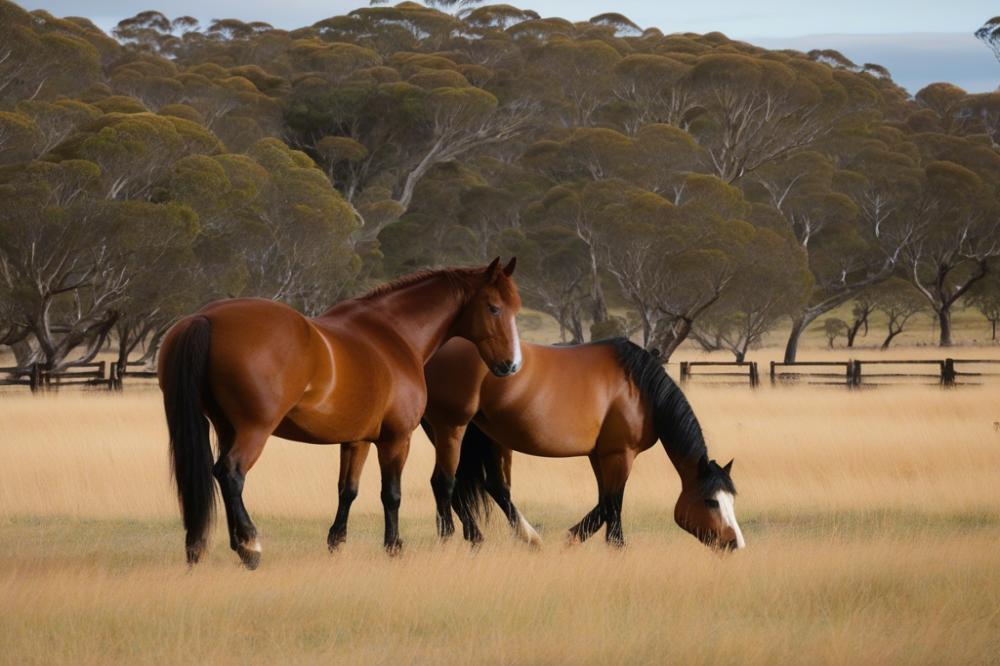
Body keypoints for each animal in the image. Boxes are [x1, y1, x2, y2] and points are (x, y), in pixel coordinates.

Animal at [157, 258, 522, 568]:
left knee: (218, 477)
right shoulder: (396, 439)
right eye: (494, 308)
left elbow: (348, 490)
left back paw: (204, 547)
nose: (510, 365)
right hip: (253, 430)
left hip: (223, 427)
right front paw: (394, 546)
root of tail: (205, 317)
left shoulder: (356, 440)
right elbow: (391, 494)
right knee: (231, 473)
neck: (393, 335)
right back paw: (250, 547)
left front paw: (336, 542)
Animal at [338, 336, 744, 551]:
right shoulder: (619, 454)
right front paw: (608, 545)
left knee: (492, 486)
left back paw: (517, 537)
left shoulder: (600, 454)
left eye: (731, 499)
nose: (734, 542)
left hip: (483, 436)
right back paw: (467, 538)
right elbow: (613, 505)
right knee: (445, 484)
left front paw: (572, 538)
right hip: (451, 429)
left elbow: (603, 502)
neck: (638, 388)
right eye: (711, 501)